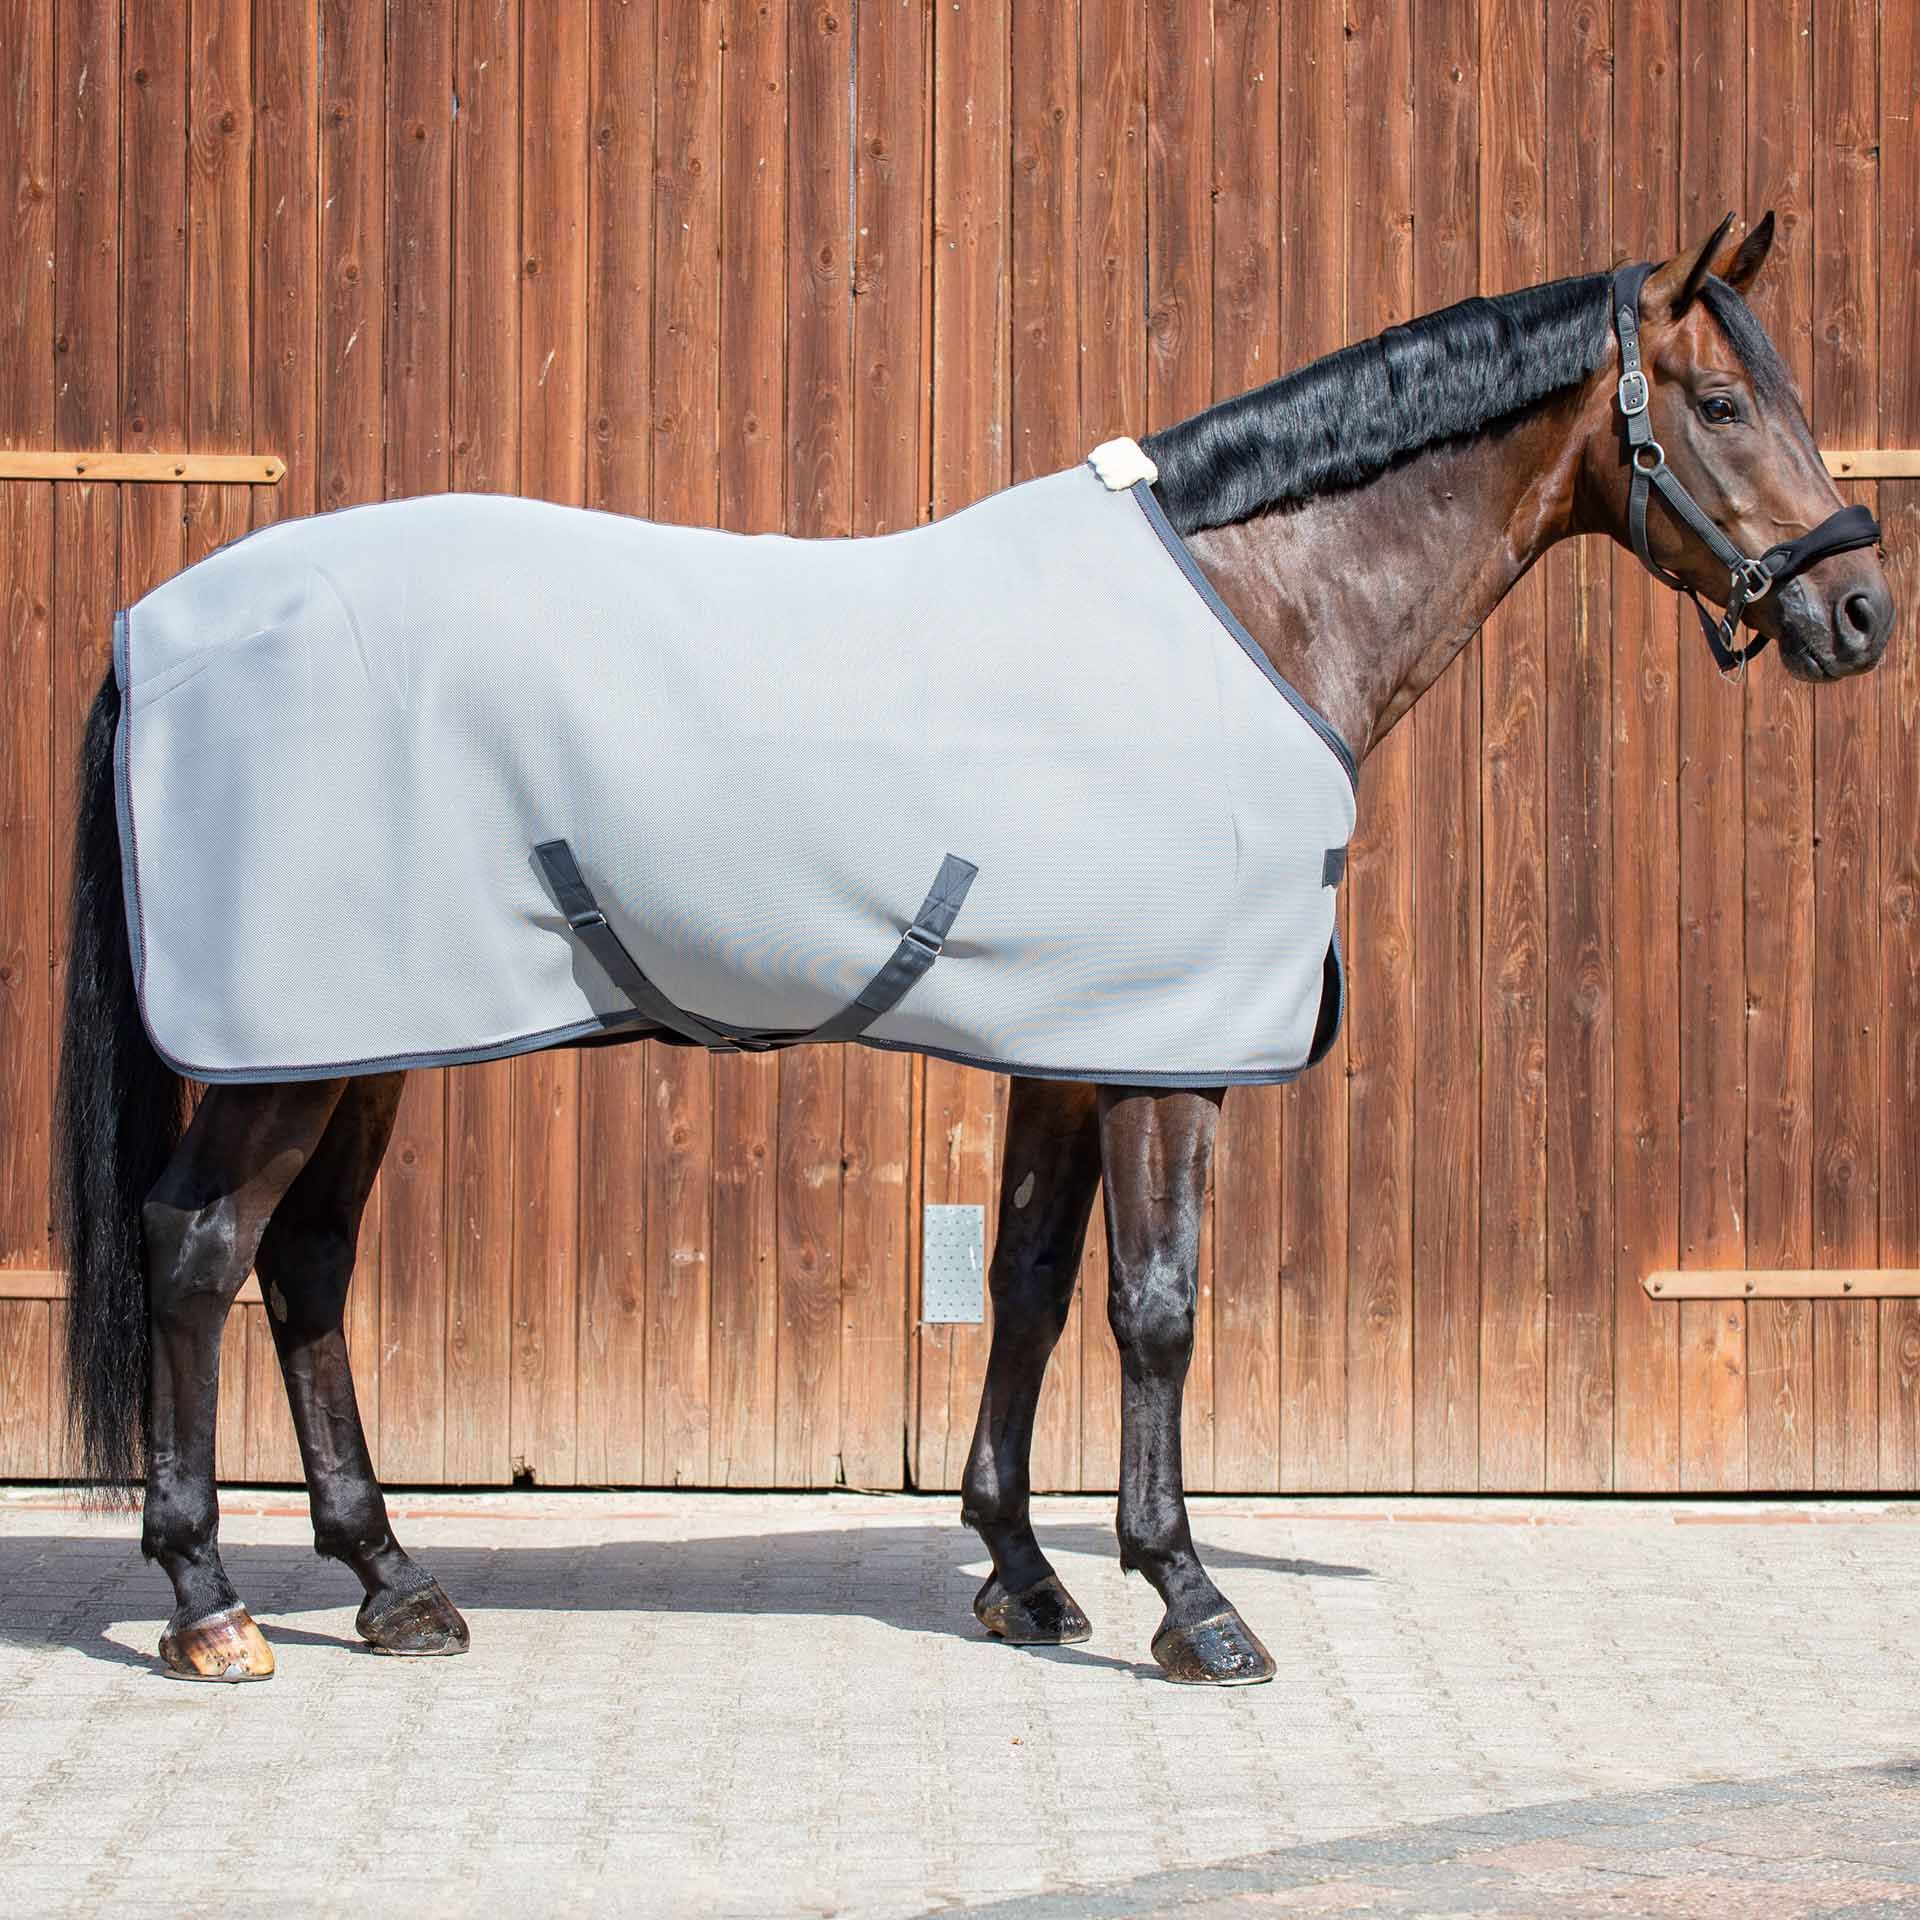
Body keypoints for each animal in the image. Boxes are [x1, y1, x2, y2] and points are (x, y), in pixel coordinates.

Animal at [54, 212, 1893, 1687]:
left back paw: (390, 1583)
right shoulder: (1164, 1064)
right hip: (293, 1055)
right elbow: (1154, 1310)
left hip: (361, 1041)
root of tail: (159, 622)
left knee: (304, 1268)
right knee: (200, 1251)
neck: (1250, 607)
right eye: (1724, 406)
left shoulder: (1071, 1050)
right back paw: (209, 1604)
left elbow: (1025, 1288)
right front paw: (1193, 1602)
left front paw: (1023, 1575)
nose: (1860, 614)